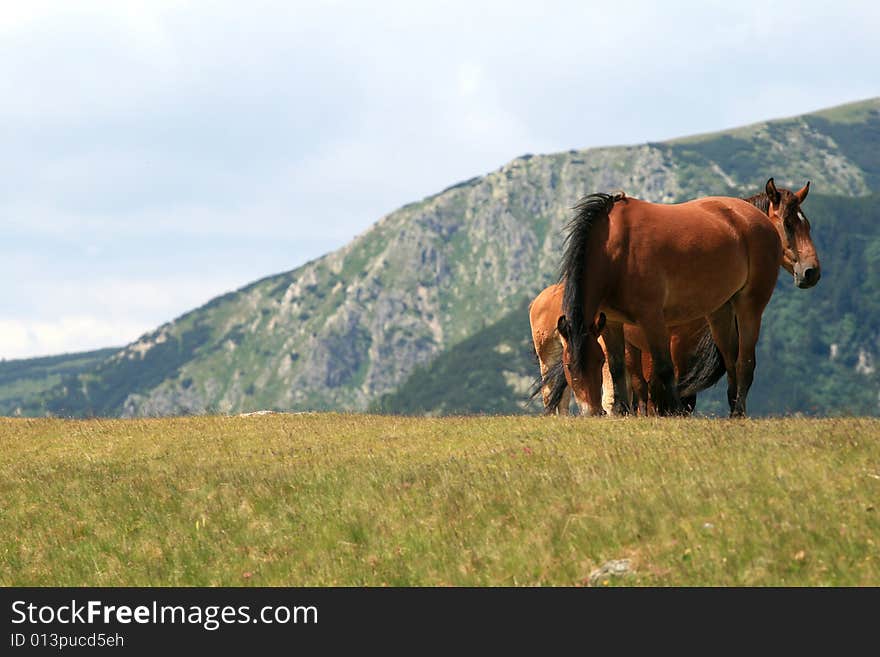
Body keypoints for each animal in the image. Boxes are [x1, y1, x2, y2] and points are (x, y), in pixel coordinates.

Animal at [556, 178, 820, 416]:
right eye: (569, 365)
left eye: (799, 225)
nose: (811, 271)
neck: (617, 247)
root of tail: (757, 220)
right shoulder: (611, 322)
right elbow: (618, 367)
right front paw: (622, 412)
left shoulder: (653, 320)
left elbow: (664, 369)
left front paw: (672, 410)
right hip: (720, 311)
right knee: (730, 358)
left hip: (750, 306)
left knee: (745, 360)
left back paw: (738, 411)